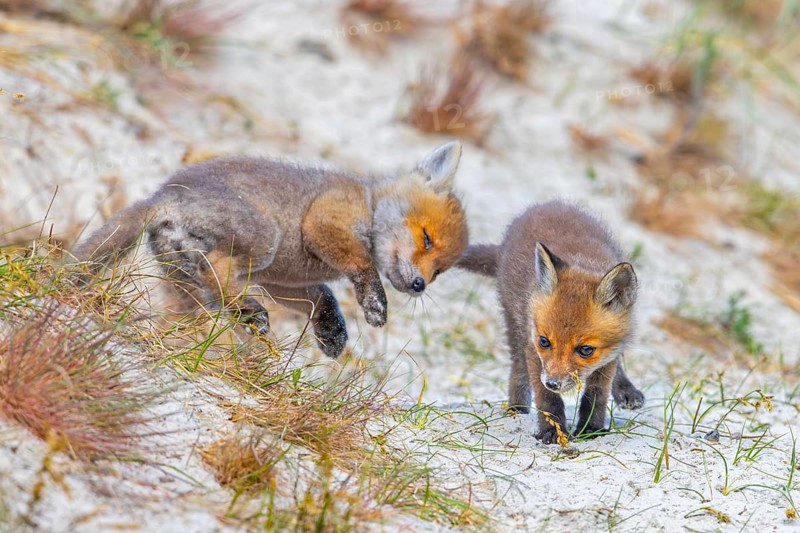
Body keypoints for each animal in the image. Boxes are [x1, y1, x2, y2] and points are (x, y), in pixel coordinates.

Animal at [72, 142, 468, 359]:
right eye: (427, 238)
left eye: (440, 271)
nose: (419, 286)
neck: (368, 205)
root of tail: (161, 195)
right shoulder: (324, 222)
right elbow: (361, 266)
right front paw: (374, 301)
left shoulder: (281, 280)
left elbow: (323, 297)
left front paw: (332, 334)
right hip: (266, 238)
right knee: (214, 267)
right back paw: (250, 311)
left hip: (195, 273)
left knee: (203, 285)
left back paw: (240, 314)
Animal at [457, 200, 644, 444]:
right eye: (544, 342)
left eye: (586, 350)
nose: (554, 383)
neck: (583, 261)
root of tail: (545, 205)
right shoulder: (532, 347)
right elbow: (547, 399)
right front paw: (552, 431)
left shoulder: (607, 356)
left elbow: (596, 395)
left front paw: (591, 429)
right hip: (515, 323)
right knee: (518, 371)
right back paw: (517, 411)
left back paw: (626, 390)